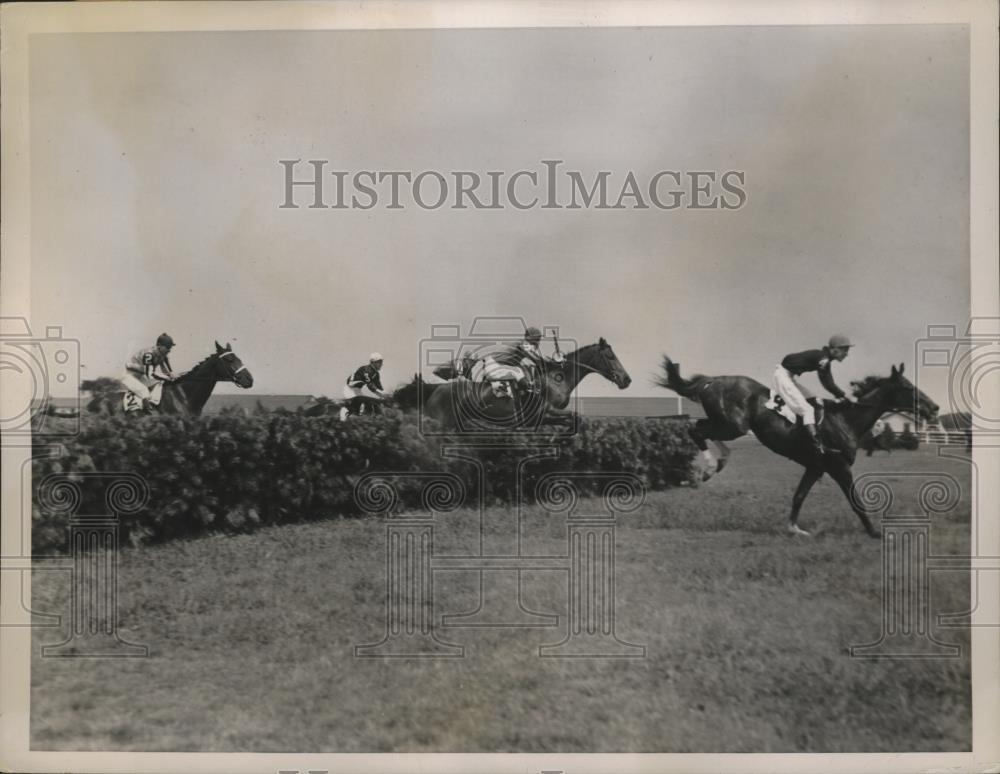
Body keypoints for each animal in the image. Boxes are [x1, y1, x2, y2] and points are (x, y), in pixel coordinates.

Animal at [424, 340, 628, 434]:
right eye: (610, 356)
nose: (627, 380)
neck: (556, 378)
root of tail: (434, 390)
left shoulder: (542, 418)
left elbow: (574, 419)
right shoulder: (543, 413)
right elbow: (574, 416)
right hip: (441, 423)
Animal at [656, 360, 936, 536]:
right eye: (907, 387)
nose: (934, 407)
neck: (845, 420)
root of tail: (712, 381)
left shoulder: (815, 467)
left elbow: (799, 496)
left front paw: (794, 528)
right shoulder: (839, 467)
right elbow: (855, 500)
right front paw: (874, 531)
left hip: (727, 425)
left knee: (700, 427)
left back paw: (719, 461)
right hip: (732, 425)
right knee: (696, 429)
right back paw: (709, 466)